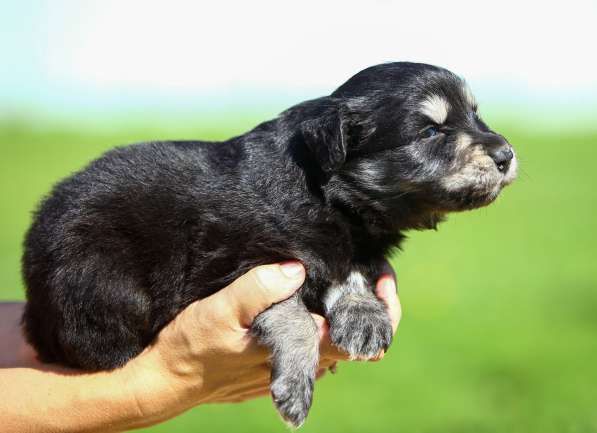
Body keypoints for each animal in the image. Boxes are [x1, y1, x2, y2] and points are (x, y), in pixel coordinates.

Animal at [22, 61, 516, 426]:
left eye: (476, 115)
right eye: (431, 132)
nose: (507, 155)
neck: (329, 193)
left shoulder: (353, 245)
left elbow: (352, 270)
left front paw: (363, 317)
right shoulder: (233, 265)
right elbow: (292, 314)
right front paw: (295, 388)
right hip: (102, 283)